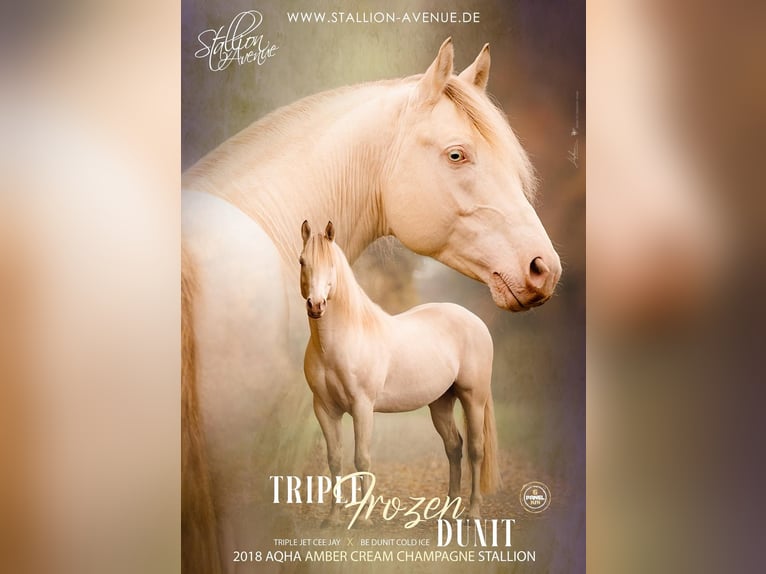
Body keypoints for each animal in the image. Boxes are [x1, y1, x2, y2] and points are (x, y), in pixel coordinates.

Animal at [300, 220, 499, 523]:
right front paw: (332, 519)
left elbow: (362, 458)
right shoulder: (324, 409)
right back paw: (449, 511)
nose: (316, 305)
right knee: (454, 447)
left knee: (476, 450)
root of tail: (475, 321)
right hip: (441, 402)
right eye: (302, 261)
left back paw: (473, 513)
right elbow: (334, 460)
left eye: (331, 264)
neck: (341, 341)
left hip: (473, 397)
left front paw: (363, 518)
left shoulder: (362, 407)